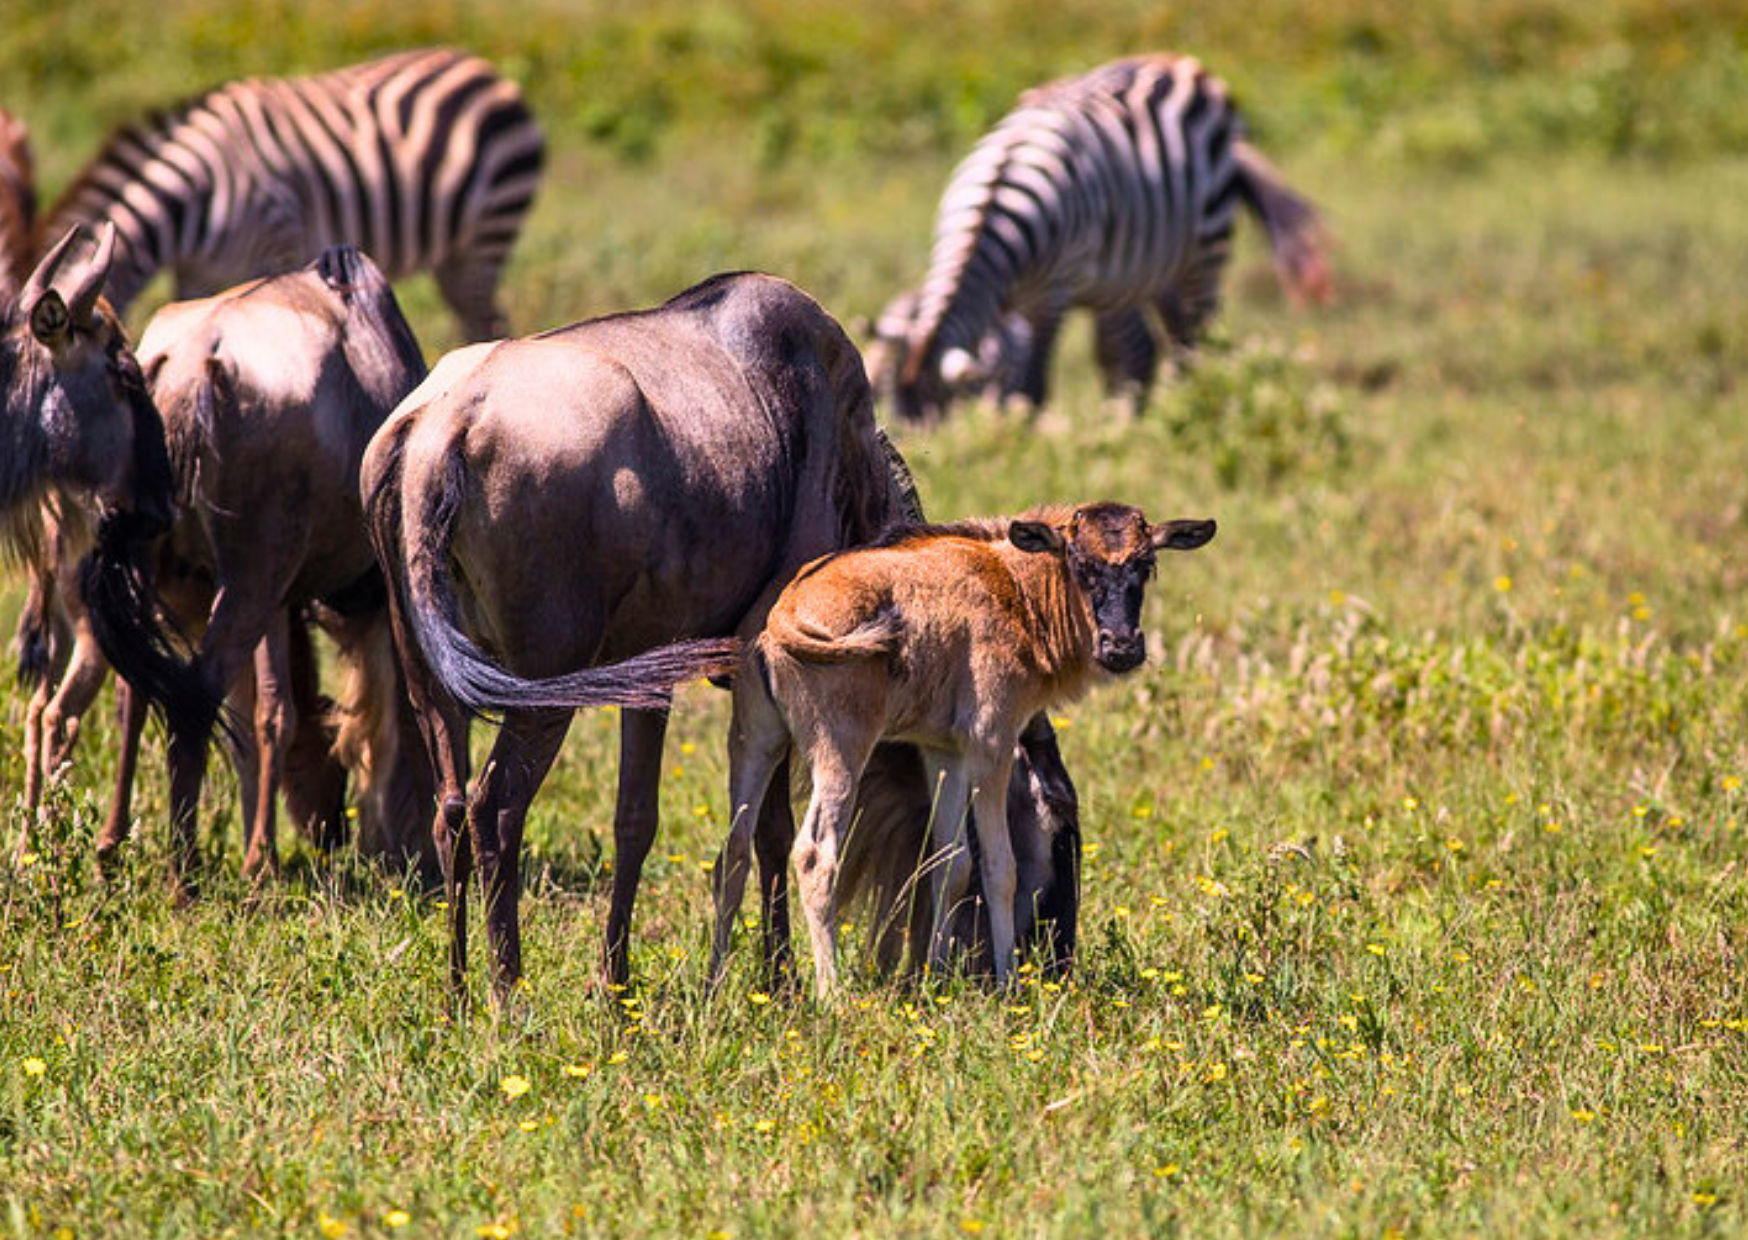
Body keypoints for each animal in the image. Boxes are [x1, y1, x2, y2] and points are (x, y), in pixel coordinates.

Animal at [712, 502, 1215, 994]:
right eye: (1079, 563)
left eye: (1146, 564)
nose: (1122, 647)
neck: (1012, 587)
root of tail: (783, 615)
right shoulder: (991, 744)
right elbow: (999, 867)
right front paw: (1008, 984)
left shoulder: (944, 753)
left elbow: (949, 865)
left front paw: (934, 977)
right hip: (841, 750)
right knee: (816, 856)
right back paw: (832, 995)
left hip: (755, 742)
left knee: (733, 852)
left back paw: (713, 985)